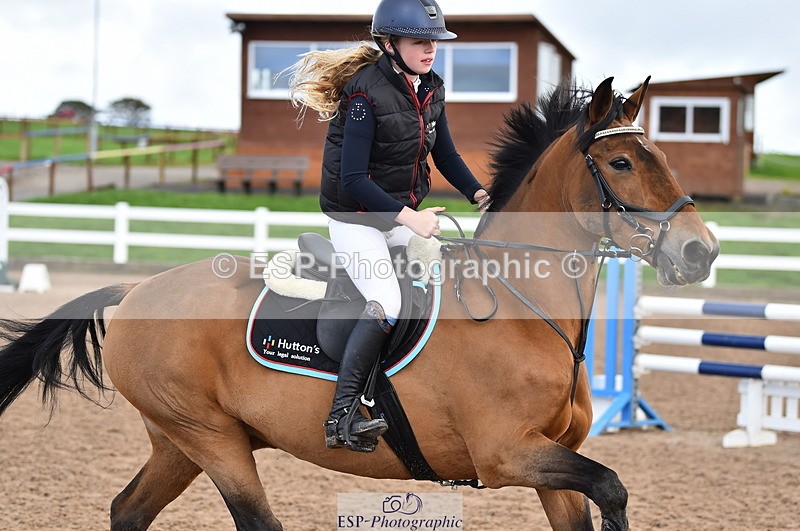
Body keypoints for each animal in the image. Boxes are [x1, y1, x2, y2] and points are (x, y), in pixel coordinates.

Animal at [0, 77, 718, 530]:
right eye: (622, 163)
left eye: (659, 154)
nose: (701, 251)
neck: (523, 309)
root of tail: (138, 289)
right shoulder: (506, 454)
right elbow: (613, 484)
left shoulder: (551, 468)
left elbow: (600, 492)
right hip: (210, 439)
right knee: (254, 521)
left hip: (180, 441)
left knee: (127, 512)